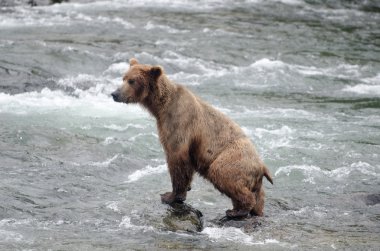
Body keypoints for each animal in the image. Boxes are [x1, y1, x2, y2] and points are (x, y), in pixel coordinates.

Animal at [110, 58, 274, 218]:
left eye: (132, 81)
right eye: (123, 77)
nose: (114, 93)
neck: (161, 107)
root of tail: (262, 166)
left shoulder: (180, 123)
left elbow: (178, 158)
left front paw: (170, 196)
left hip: (232, 159)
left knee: (223, 174)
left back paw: (236, 211)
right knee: (259, 194)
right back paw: (252, 210)